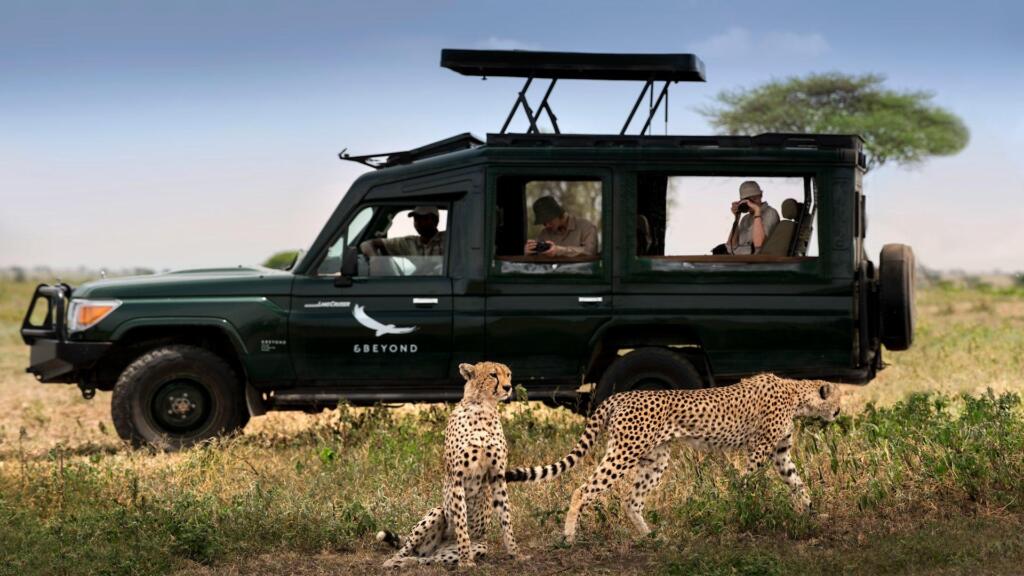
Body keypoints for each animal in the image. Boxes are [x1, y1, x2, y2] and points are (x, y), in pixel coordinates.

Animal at [377, 361, 527, 568]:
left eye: (509, 374)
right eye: (493, 375)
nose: (507, 387)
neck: (484, 408)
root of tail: (438, 547)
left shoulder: (498, 476)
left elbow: (506, 518)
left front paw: (516, 553)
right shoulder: (458, 478)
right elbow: (461, 522)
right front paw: (465, 561)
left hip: (476, 548)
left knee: (426, 560)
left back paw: (408, 562)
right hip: (437, 511)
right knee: (407, 549)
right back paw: (393, 561)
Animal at [505, 372, 842, 543]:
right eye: (837, 398)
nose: (839, 411)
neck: (797, 394)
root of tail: (620, 395)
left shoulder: (781, 454)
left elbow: (799, 484)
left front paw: (812, 514)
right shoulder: (758, 450)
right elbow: (747, 483)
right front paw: (744, 511)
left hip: (655, 460)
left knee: (630, 500)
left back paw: (651, 537)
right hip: (623, 452)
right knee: (583, 489)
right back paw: (569, 535)